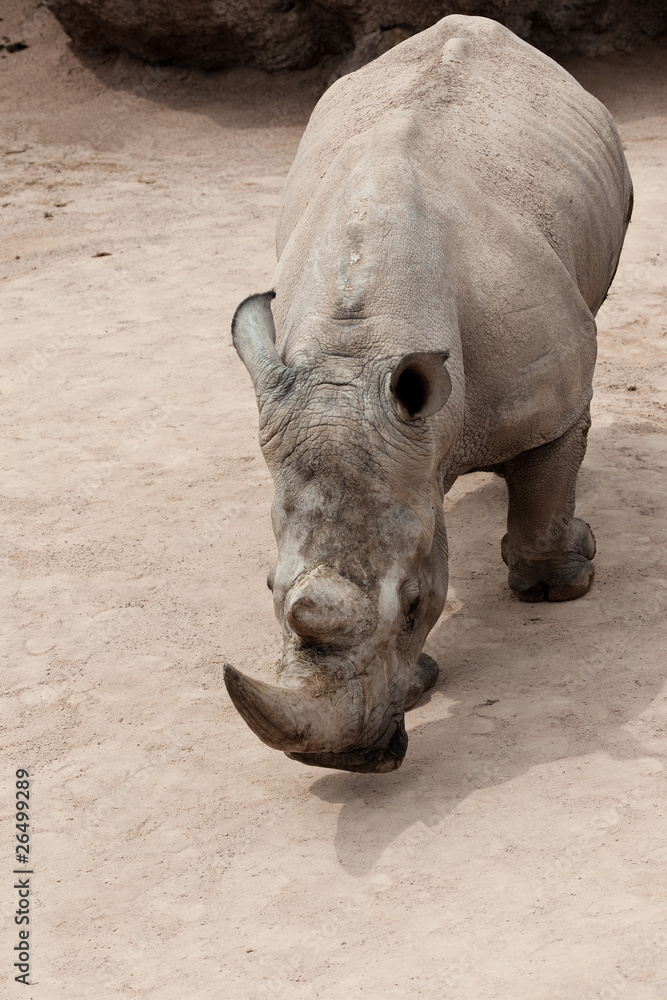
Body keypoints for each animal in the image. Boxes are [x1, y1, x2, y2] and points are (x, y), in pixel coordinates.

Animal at [223, 15, 633, 773]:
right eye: (267, 590)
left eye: (414, 604)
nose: (343, 760)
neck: (357, 350)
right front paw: (417, 686)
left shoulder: (553, 407)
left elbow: (545, 487)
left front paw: (562, 587)